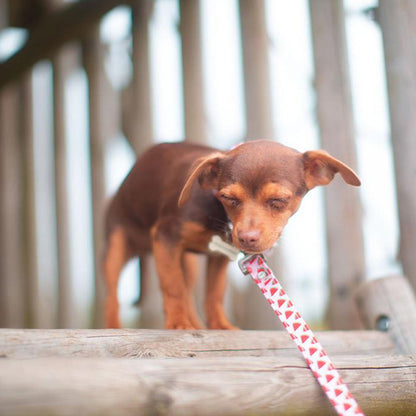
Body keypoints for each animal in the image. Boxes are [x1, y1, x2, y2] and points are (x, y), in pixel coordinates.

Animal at [102, 140, 360, 328]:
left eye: (278, 200)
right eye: (228, 198)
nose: (246, 238)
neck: (219, 217)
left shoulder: (218, 257)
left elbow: (213, 294)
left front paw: (220, 326)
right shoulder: (165, 237)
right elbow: (172, 286)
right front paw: (177, 324)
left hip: (186, 262)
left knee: (188, 291)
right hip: (117, 246)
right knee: (112, 296)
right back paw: (116, 326)